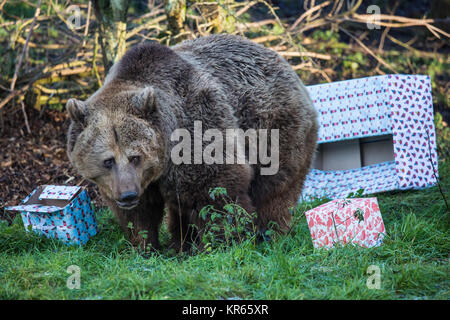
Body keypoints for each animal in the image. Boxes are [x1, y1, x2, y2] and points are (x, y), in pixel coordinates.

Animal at [66, 33, 320, 251]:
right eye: (108, 160)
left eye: (135, 157)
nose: (127, 195)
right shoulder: (125, 182)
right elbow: (140, 214)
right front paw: (143, 245)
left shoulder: (197, 130)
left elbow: (215, 193)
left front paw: (222, 242)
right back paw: (180, 244)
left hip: (272, 130)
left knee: (274, 187)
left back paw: (270, 233)